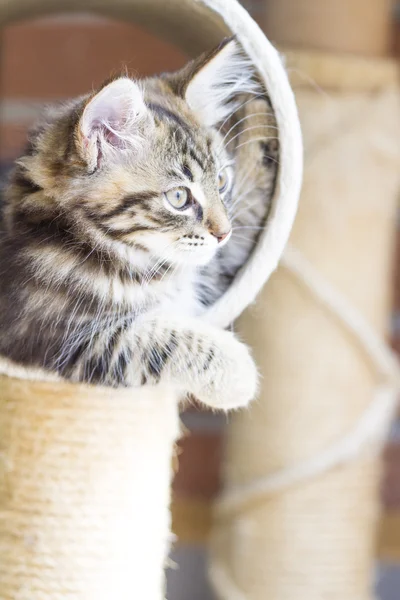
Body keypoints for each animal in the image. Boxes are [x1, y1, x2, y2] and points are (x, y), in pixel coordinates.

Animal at [0, 38, 278, 412]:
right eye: (178, 197)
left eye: (221, 182)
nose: (223, 234)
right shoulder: (52, 334)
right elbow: (156, 340)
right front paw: (238, 372)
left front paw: (263, 113)